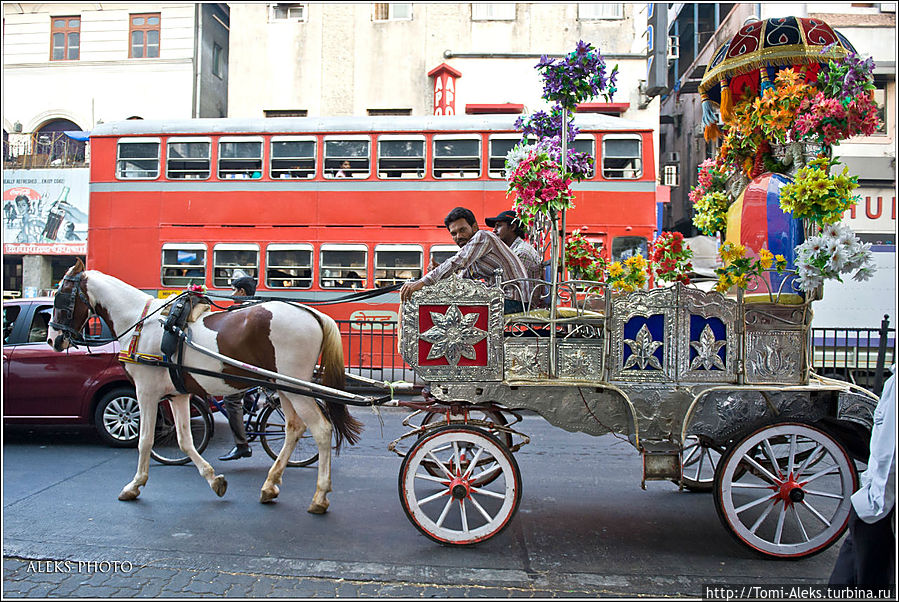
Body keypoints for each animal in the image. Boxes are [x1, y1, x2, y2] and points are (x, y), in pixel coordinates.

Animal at [46, 258, 362, 510]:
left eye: (61, 296)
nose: (53, 339)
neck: (140, 323)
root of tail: (312, 313)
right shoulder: (177, 394)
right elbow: (185, 441)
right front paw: (214, 480)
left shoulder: (145, 392)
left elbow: (145, 440)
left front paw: (134, 485)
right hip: (284, 385)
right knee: (294, 428)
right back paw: (270, 484)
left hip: (295, 387)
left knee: (321, 429)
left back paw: (319, 496)